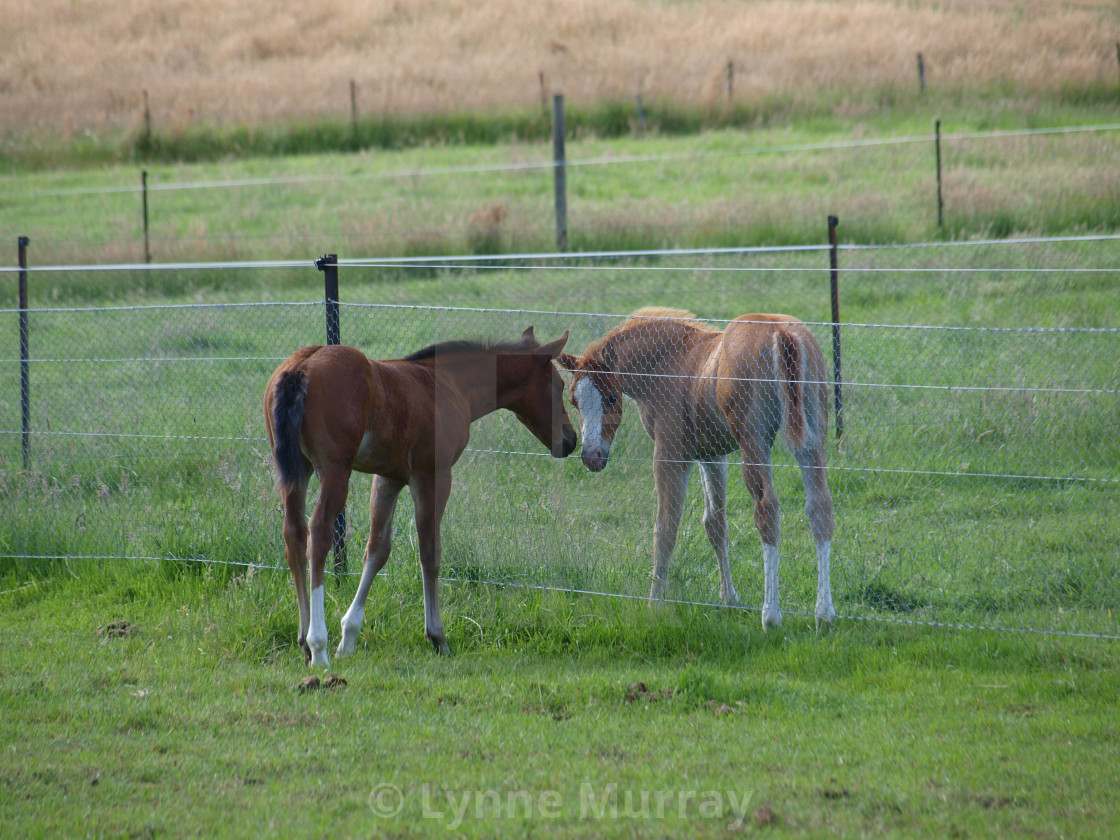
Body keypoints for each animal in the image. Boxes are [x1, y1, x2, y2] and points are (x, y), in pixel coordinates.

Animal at [564, 309, 837, 631]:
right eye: (574, 401)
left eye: (611, 397)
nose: (591, 457)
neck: (671, 361)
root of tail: (781, 331)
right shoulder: (712, 456)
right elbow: (715, 524)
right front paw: (728, 598)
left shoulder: (670, 455)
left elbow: (666, 527)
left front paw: (654, 604)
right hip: (812, 435)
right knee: (820, 506)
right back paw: (824, 613)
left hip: (754, 441)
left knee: (767, 509)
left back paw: (771, 615)